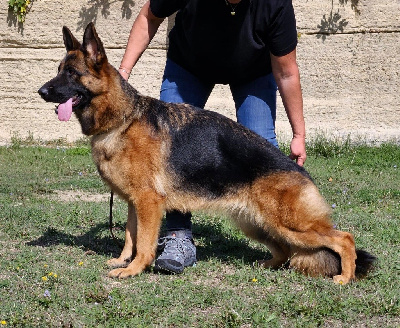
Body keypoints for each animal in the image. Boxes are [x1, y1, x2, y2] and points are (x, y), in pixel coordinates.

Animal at [39, 23, 374, 284]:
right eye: (57, 71)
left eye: (72, 74)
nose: (41, 92)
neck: (123, 119)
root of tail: (300, 170)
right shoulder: (135, 204)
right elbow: (130, 237)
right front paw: (123, 261)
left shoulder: (148, 203)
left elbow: (144, 243)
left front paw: (133, 270)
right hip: (258, 223)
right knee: (284, 250)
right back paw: (267, 265)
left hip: (291, 225)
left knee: (344, 239)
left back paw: (345, 276)